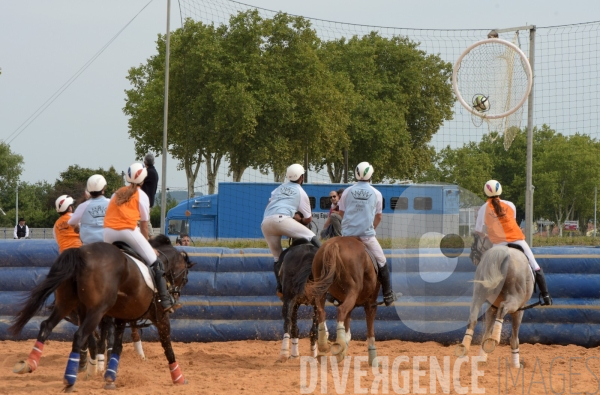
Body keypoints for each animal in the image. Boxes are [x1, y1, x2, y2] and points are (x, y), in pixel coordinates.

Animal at [7, 235, 195, 392]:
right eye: (185, 277)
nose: (175, 295)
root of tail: (80, 253)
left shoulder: (121, 318)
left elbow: (116, 346)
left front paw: (110, 378)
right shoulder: (159, 316)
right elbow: (167, 346)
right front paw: (178, 378)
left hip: (67, 304)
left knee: (47, 326)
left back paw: (30, 363)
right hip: (96, 311)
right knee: (80, 335)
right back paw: (70, 380)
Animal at [304, 237, 384, 366]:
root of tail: (334, 244)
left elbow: (348, 331)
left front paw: (341, 352)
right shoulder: (370, 304)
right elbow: (370, 331)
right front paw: (373, 359)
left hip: (322, 289)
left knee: (321, 311)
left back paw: (323, 344)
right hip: (353, 291)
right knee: (341, 310)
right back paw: (338, 343)